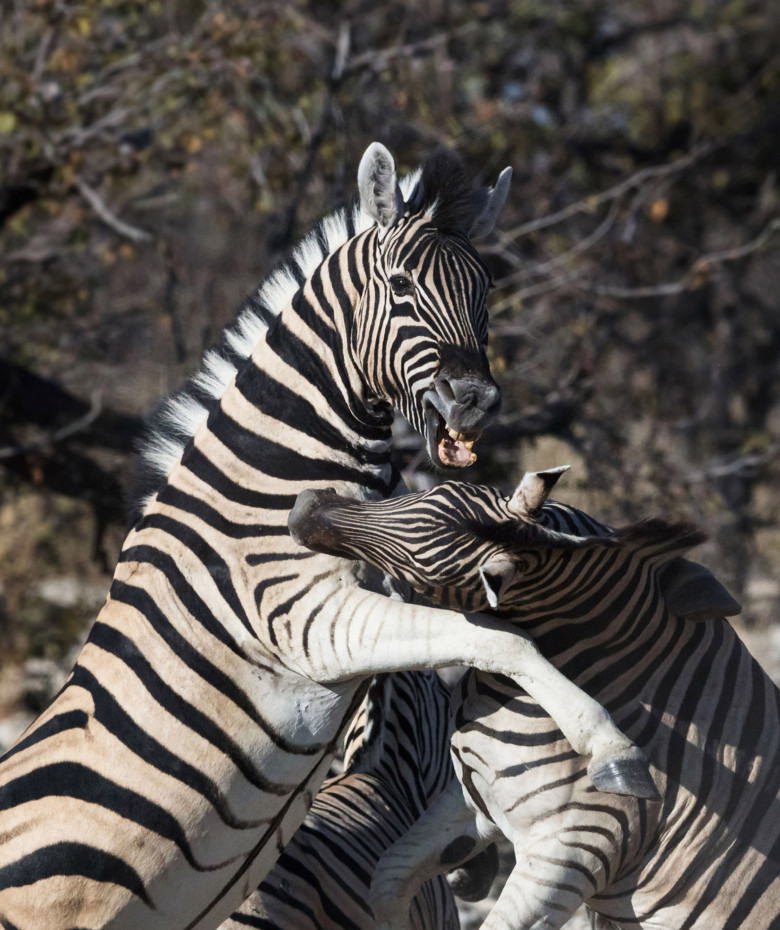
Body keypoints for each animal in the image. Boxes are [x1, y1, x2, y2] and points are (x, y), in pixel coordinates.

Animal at [288, 468, 780, 928]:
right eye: (435, 490)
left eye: (420, 573)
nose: (304, 508)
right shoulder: (470, 802)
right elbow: (388, 879)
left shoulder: (574, 848)